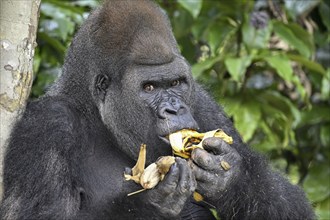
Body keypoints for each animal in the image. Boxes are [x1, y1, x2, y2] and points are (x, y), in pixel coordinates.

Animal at [0, 0, 314, 220]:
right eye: (149, 87)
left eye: (175, 83)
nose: (174, 109)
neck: (93, 113)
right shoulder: (47, 125)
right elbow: (41, 213)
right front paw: (150, 202)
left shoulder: (203, 104)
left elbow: (293, 208)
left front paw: (229, 177)